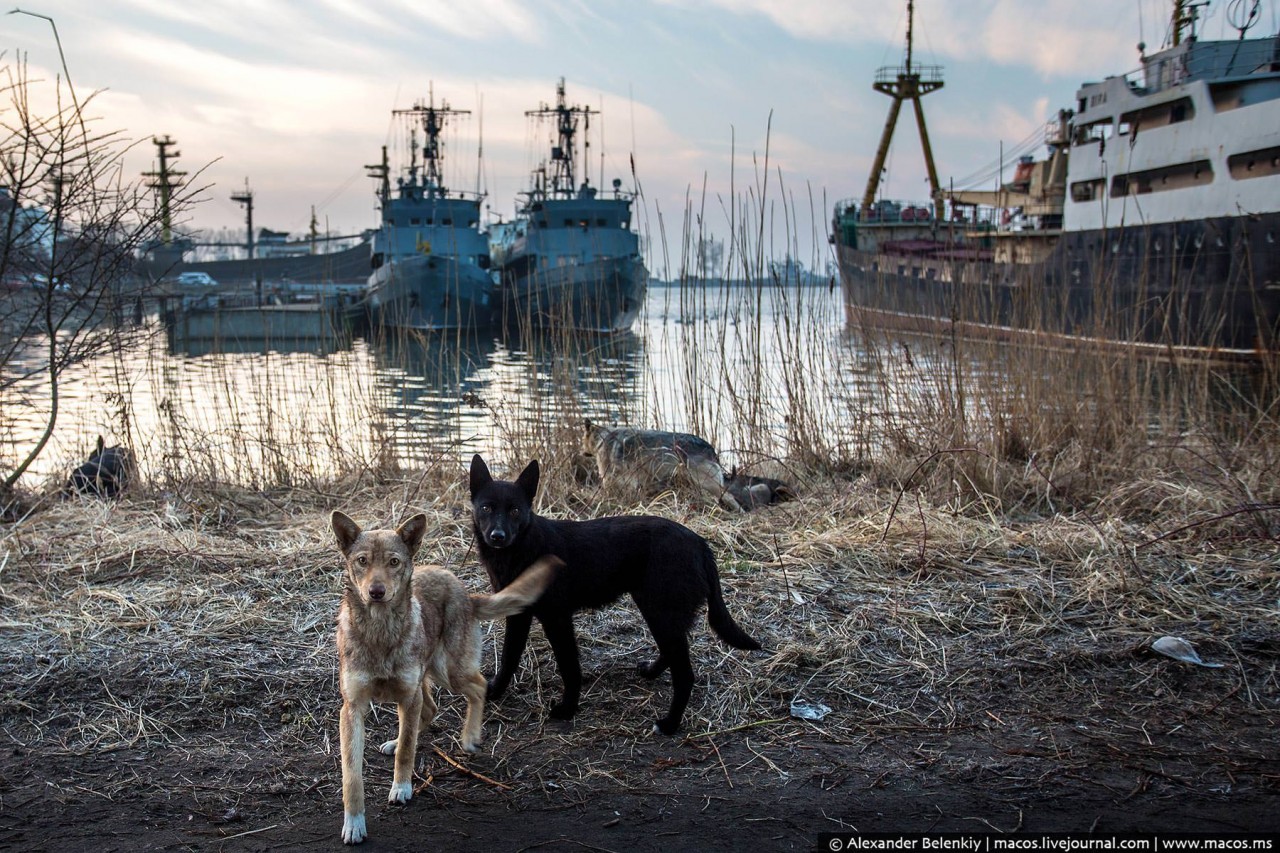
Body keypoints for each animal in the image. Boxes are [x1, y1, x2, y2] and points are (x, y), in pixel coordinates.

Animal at [330, 507, 555, 840]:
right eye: (362, 561)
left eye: (394, 562)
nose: (376, 592)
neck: (380, 630)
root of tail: (465, 592)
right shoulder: (353, 708)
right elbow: (352, 775)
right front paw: (354, 823)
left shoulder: (408, 697)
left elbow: (407, 750)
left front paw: (402, 787)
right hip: (427, 679)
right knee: (429, 710)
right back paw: (397, 739)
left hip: (448, 670)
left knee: (478, 686)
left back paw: (470, 736)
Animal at [471, 448, 757, 732]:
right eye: (486, 508)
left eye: (515, 511)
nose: (498, 536)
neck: (523, 550)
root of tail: (700, 544)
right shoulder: (518, 615)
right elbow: (509, 658)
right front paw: (495, 691)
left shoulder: (558, 619)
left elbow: (569, 667)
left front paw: (568, 708)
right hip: (656, 610)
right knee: (671, 652)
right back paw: (651, 673)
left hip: (661, 612)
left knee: (685, 675)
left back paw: (669, 724)